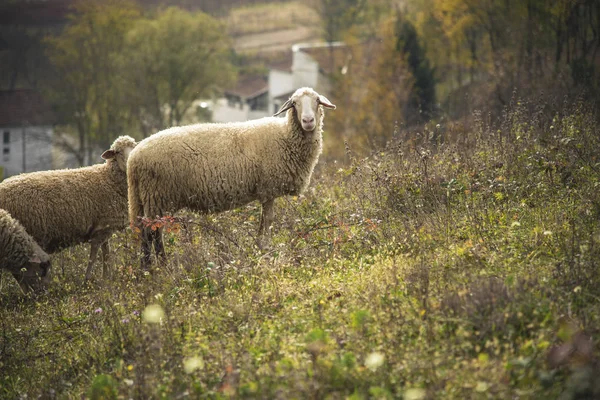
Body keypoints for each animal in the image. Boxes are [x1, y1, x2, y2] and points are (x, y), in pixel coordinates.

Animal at [0, 136, 137, 280]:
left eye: (134, 148)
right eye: (118, 152)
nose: (130, 161)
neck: (108, 178)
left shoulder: (105, 227)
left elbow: (106, 255)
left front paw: (106, 279)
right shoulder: (101, 230)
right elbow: (94, 257)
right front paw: (88, 279)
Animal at [127, 87, 336, 268]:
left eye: (317, 101)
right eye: (295, 103)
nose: (308, 121)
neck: (285, 136)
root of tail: (134, 159)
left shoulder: (266, 191)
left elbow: (264, 222)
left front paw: (260, 248)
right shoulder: (268, 189)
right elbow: (268, 221)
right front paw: (265, 250)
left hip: (147, 198)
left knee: (148, 233)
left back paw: (147, 267)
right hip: (158, 196)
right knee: (152, 234)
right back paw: (159, 267)